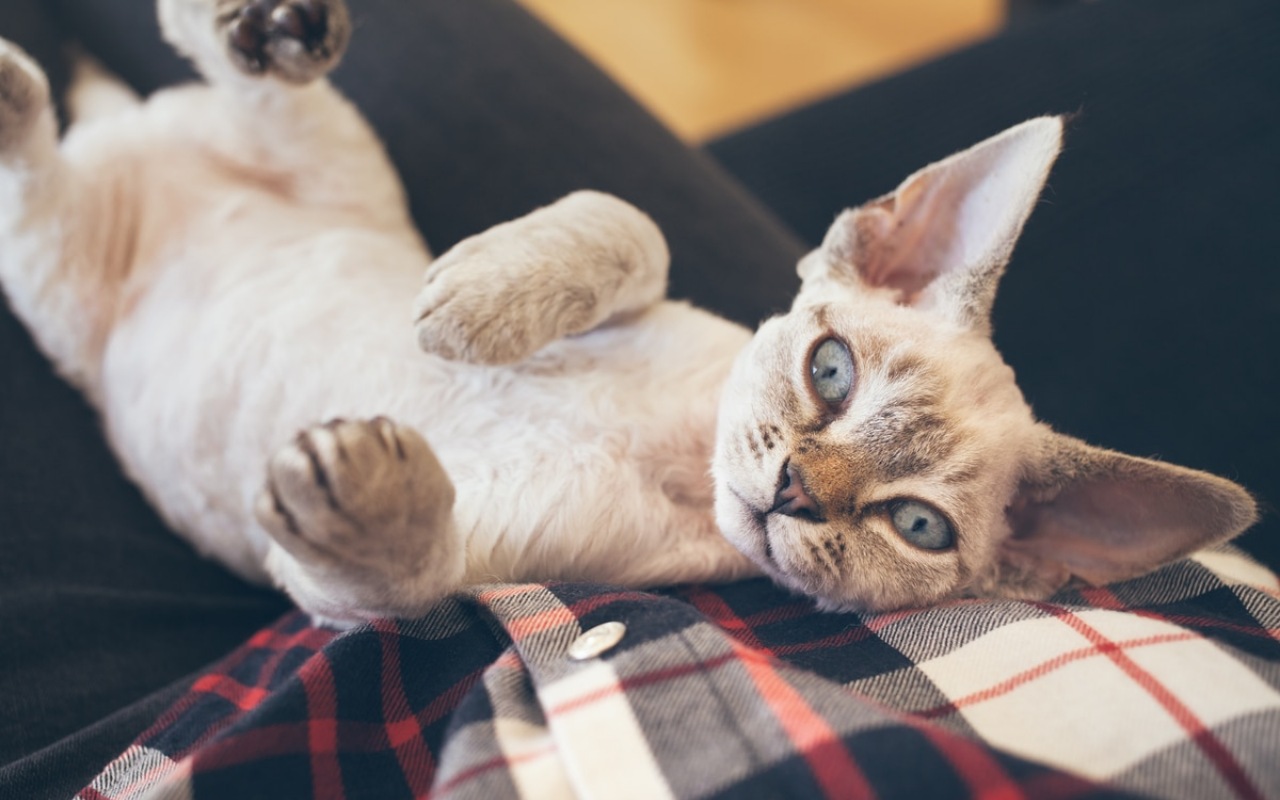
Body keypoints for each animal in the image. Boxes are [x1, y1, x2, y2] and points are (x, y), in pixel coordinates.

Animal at [0, 0, 1259, 624]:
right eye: (831, 372)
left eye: (915, 526)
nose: (795, 489)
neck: (672, 455)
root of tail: (125, 139)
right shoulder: (646, 272)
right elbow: (626, 220)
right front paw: (476, 302)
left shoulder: (428, 574)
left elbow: (397, 581)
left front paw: (366, 500)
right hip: (329, 152)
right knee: (201, 64)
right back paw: (262, 28)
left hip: (62, 274)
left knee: (39, 159)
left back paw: (29, 80)